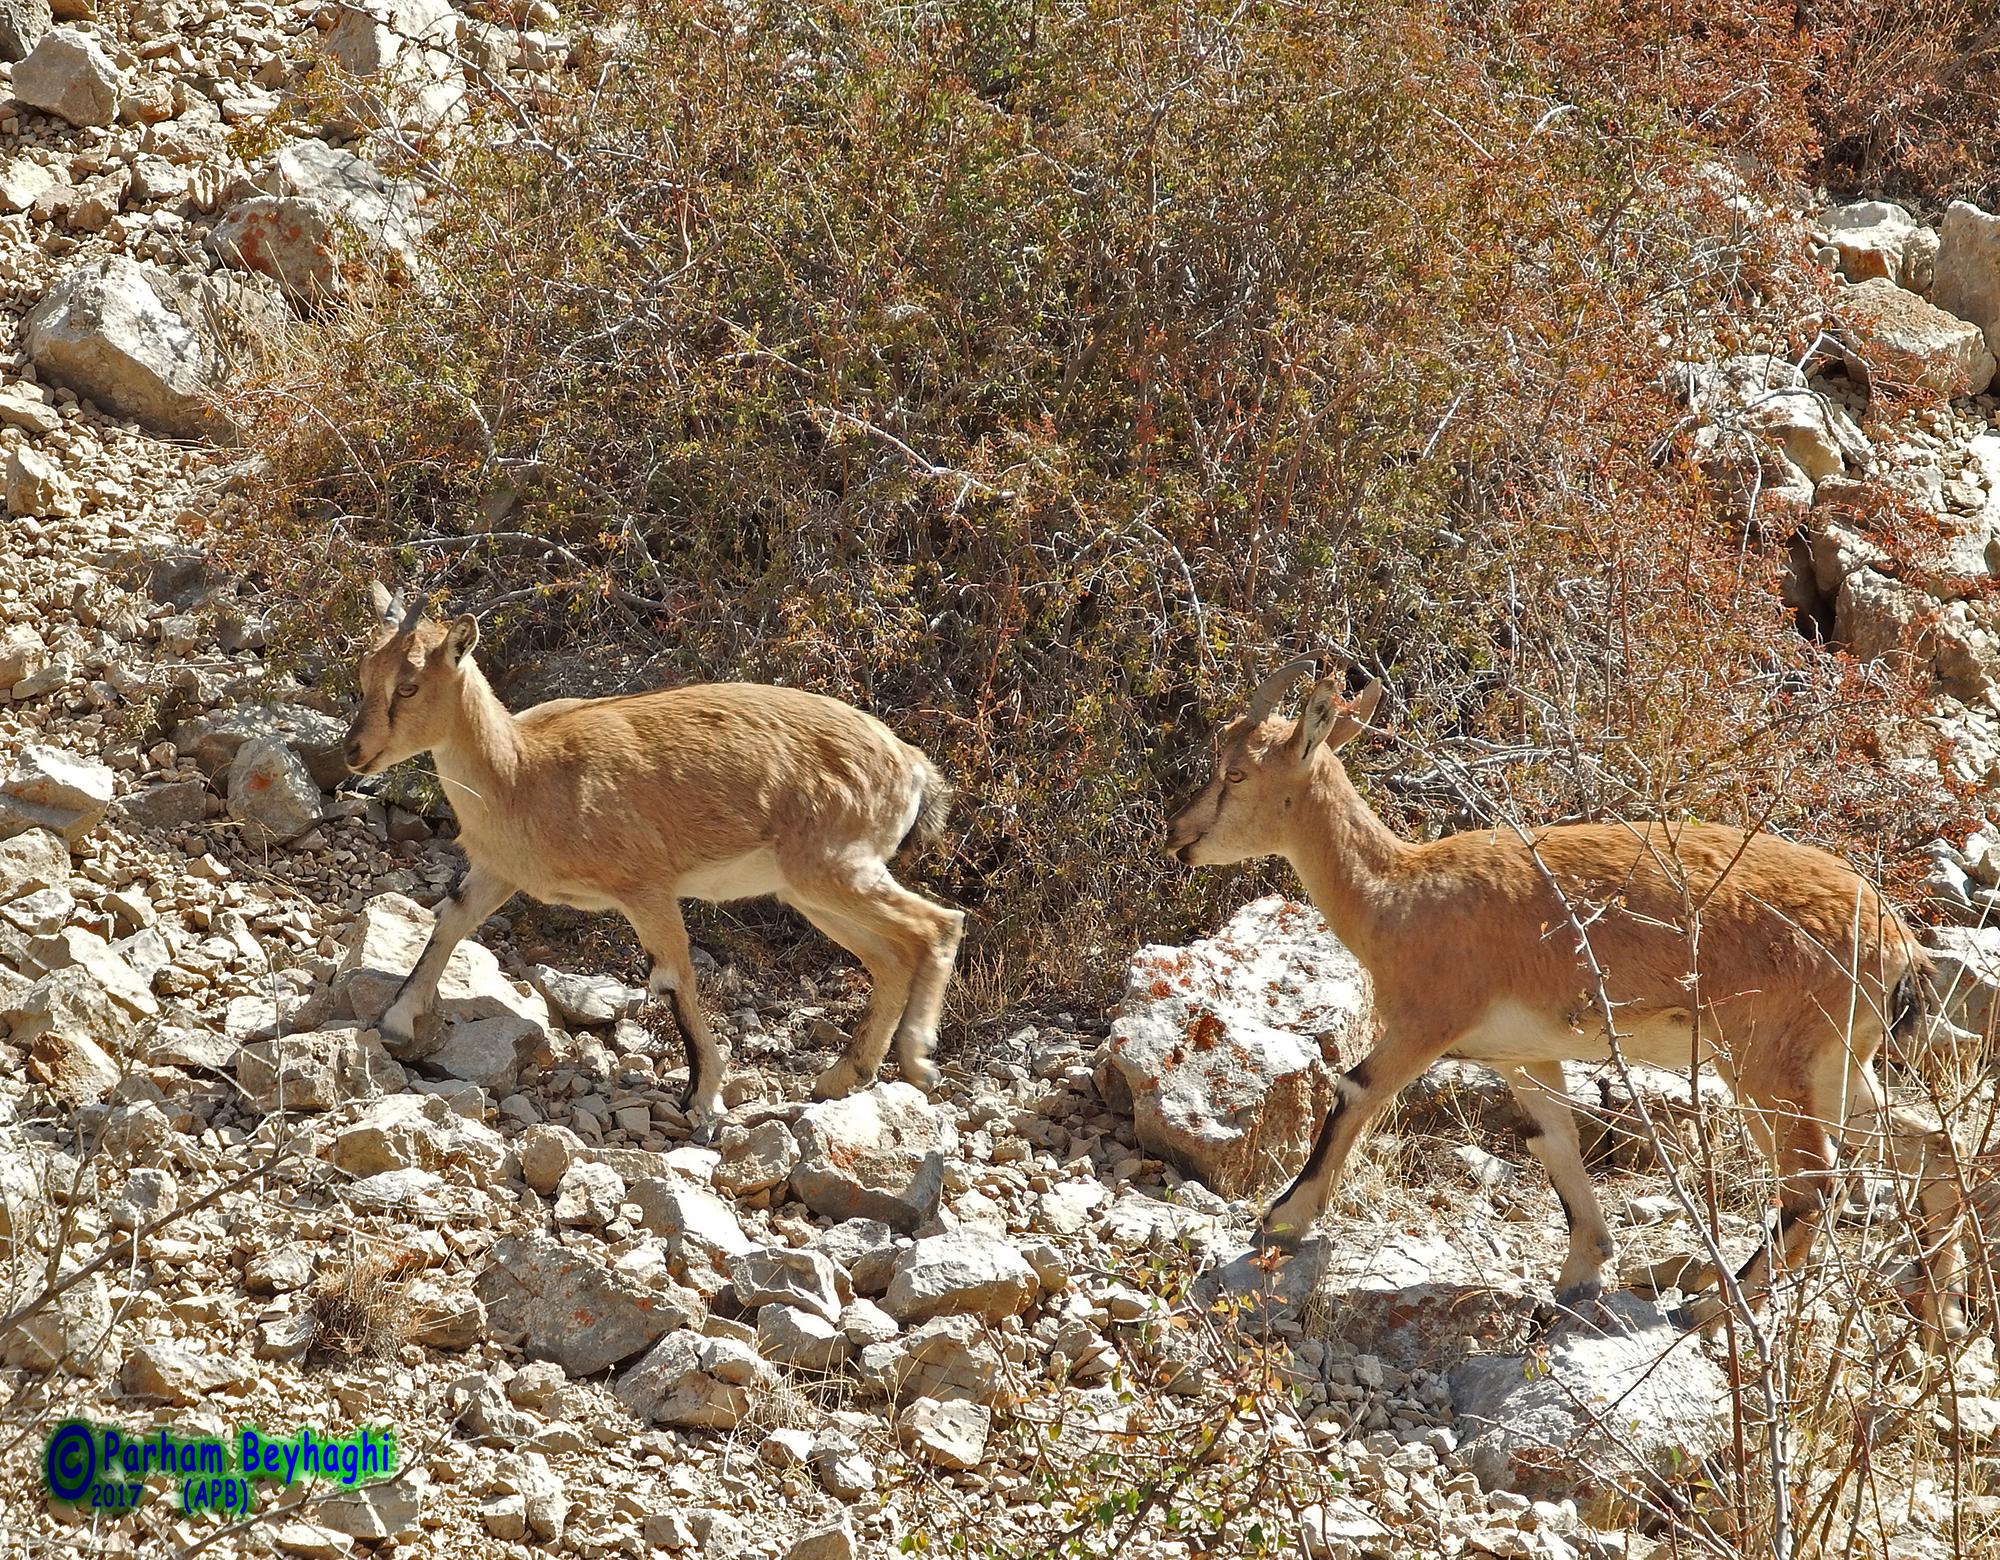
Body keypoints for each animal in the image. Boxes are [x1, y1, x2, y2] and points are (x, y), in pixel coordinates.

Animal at [343, 583, 965, 1130]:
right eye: (365, 672)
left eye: (409, 685)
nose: (354, 752)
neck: (521, 771)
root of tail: (911, 765)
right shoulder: (498, 871)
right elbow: (449, 919)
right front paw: (396, 1021)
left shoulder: (645, 887)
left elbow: (672, 975)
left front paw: (703, 1093)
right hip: (809, 890)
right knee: (891, 957)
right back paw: (844, 1075)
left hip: (837, 867)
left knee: (938, 925)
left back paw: (917, 1062)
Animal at [1164, 657, 1969, 1340]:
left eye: (1236, 772)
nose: (1179, 836)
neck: (1400, 895)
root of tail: (1898, 942)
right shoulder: (1523, 1056)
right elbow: (1555, 1144)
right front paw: (1579, 1275)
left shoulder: (1429, 1021)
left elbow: (1356, 1090)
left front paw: (1281, 1219)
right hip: (1833, 1064)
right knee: (1931, 1143)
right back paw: (1937, 1315)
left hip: (1766, 1065)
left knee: (1816, 1185)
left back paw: (1714, 1302)